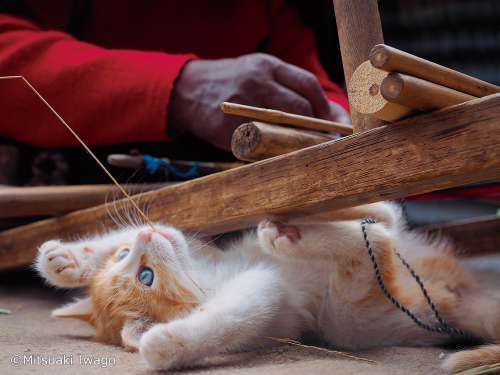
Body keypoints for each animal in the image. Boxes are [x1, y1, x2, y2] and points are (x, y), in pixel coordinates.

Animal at [36, 203, 500, 374]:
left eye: (129, 259)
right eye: (145, 277)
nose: (148, 236)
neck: (209, 274)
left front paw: (66, 260)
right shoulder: (267, 294)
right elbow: (234, 315)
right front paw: (168, 344)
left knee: (386, 220)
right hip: (354, 315)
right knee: (378, 245)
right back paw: (291, 236)